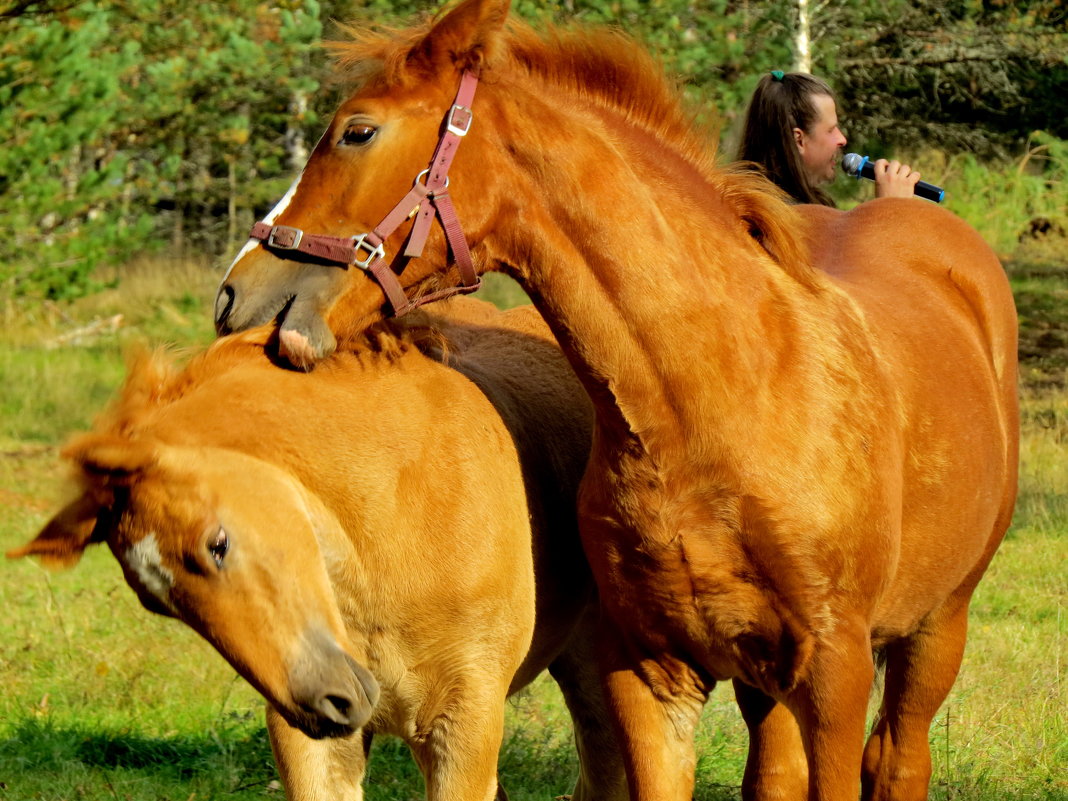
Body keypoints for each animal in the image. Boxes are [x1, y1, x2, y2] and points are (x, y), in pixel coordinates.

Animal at [210, 3, 1016, 798]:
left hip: (937, 628)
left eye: (358, 131)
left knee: (901, 758)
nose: (234, 296)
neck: (719, 413)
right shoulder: (650, 670)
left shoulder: (835, 673)